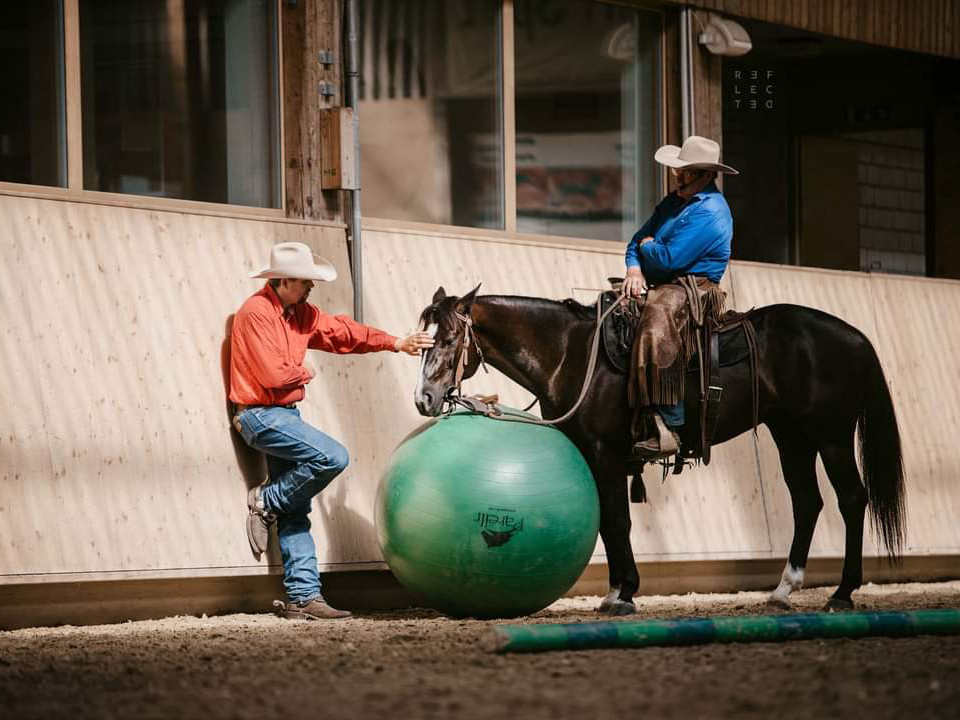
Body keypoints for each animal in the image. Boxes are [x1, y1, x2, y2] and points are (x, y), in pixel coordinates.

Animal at [414, 286, 908, 612]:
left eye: (448, 339)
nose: (424, 398)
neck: (572, 354)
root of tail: (855, 337)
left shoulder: (607, 455)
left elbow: (617, 522)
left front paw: (624, 592)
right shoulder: (593, 457)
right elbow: (607, 525)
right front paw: (617, 589)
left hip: (831, 435)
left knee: (852, 499)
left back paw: (842, 593)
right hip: (791, 436)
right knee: (807, 502)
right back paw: (784, 589)